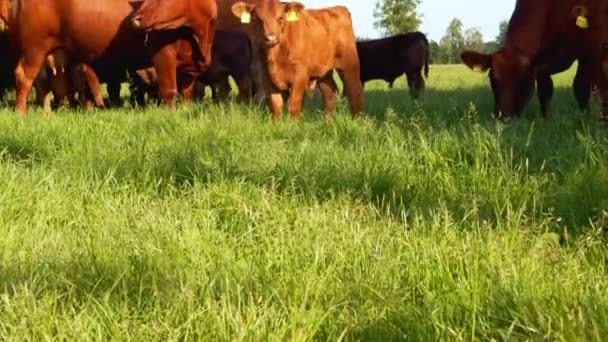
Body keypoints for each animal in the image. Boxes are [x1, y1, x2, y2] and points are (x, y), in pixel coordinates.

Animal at [6, 0, 216, 113]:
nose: (135, 18)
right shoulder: (163, 56)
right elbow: (170, 91)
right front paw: (170, 115)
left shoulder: (189, 65)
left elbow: (187, 93)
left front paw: (185, 113)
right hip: (35, 48)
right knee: (24, 77)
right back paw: (21, 113)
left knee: (45, 82)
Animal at [230, 0, 364, 120]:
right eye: (257, 19)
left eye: (280, 18)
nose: (271, 38)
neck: (275, 56)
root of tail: (338, 8)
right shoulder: (268, 76)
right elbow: (276, 105)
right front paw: (277, 125)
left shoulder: (300, 75)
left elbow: (294, 103)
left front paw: (293, 126)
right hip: (323, 71)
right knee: (330, 92)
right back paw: (327, 121)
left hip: (349, 64)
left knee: (355, 90)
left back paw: (358, 120)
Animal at [460, 0, 608, 119]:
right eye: (492, 79)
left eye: (525, 80)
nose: (504, 118)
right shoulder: (542, 63)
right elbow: (544, 91)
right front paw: (545, 119)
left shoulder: (589, 46)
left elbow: (581, 87)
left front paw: (584, 118)